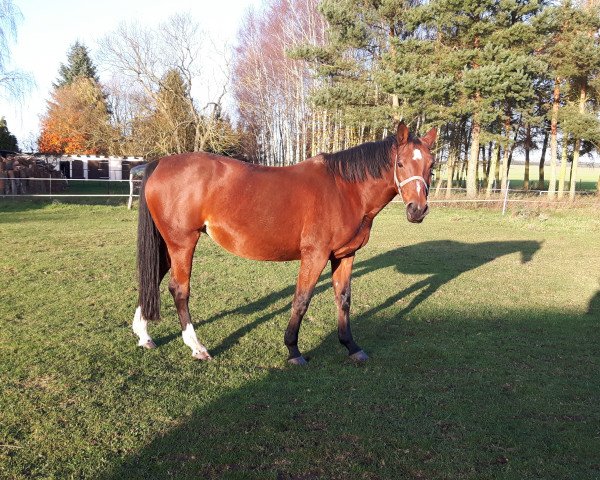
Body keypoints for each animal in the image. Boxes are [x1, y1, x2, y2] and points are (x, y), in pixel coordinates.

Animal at [132, 122, 436, 366]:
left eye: (431, 166)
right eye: (400, 163)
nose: (418, 210)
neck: (344, 189)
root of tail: (160, 163)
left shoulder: (345, 255)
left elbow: (344, 300)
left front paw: (351, 346)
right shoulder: (315, 255)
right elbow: (301, 300)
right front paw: (293, 350)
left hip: (169, 244)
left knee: (153, 278)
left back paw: (144, 335)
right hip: (183, 242)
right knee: (179, 290)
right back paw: (197, 347)